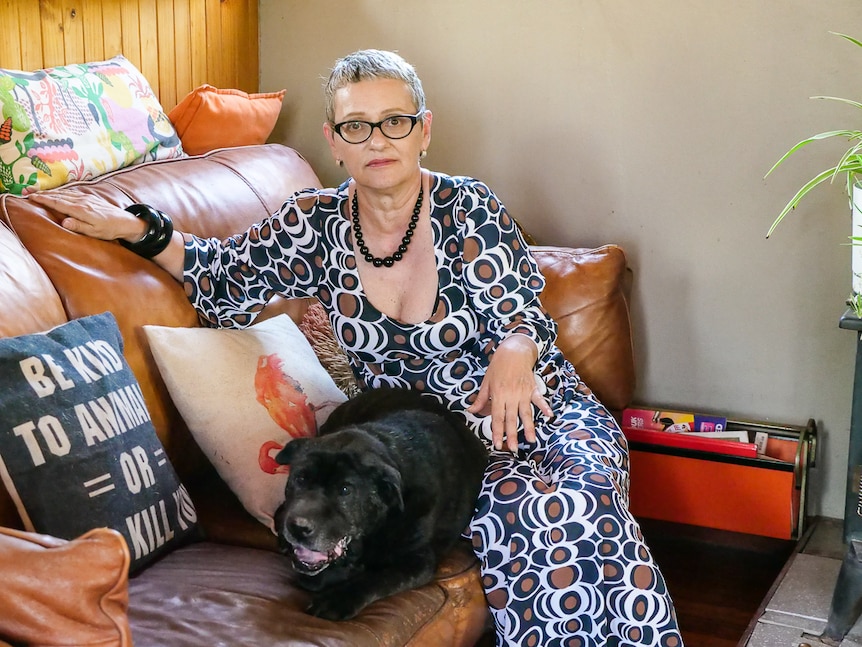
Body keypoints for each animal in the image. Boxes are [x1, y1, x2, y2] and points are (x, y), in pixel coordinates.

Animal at [276, 388, 492, 620]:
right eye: (300, 478)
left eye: (345, 490)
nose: (298, 527)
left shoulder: (418, 561)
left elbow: (376, 579)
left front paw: (336, 599)